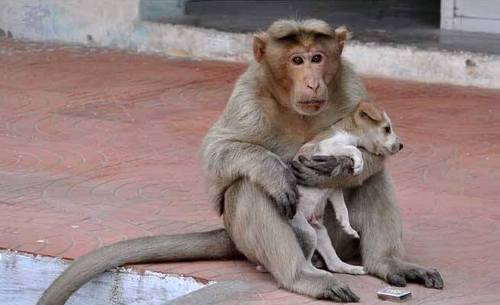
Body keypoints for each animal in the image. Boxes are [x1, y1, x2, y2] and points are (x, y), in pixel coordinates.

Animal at [36, 19, 442, 304]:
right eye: (297, 60)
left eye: (318, 58)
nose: (312, 82)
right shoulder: (248, 93)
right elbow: (219, 155)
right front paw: (283, 172)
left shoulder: (352, 83)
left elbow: (367, 164)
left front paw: (343, 168)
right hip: (267, 237)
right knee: (249, 187)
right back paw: (302, 276)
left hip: (337, 241)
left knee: (372, 181)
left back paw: (383, 263)